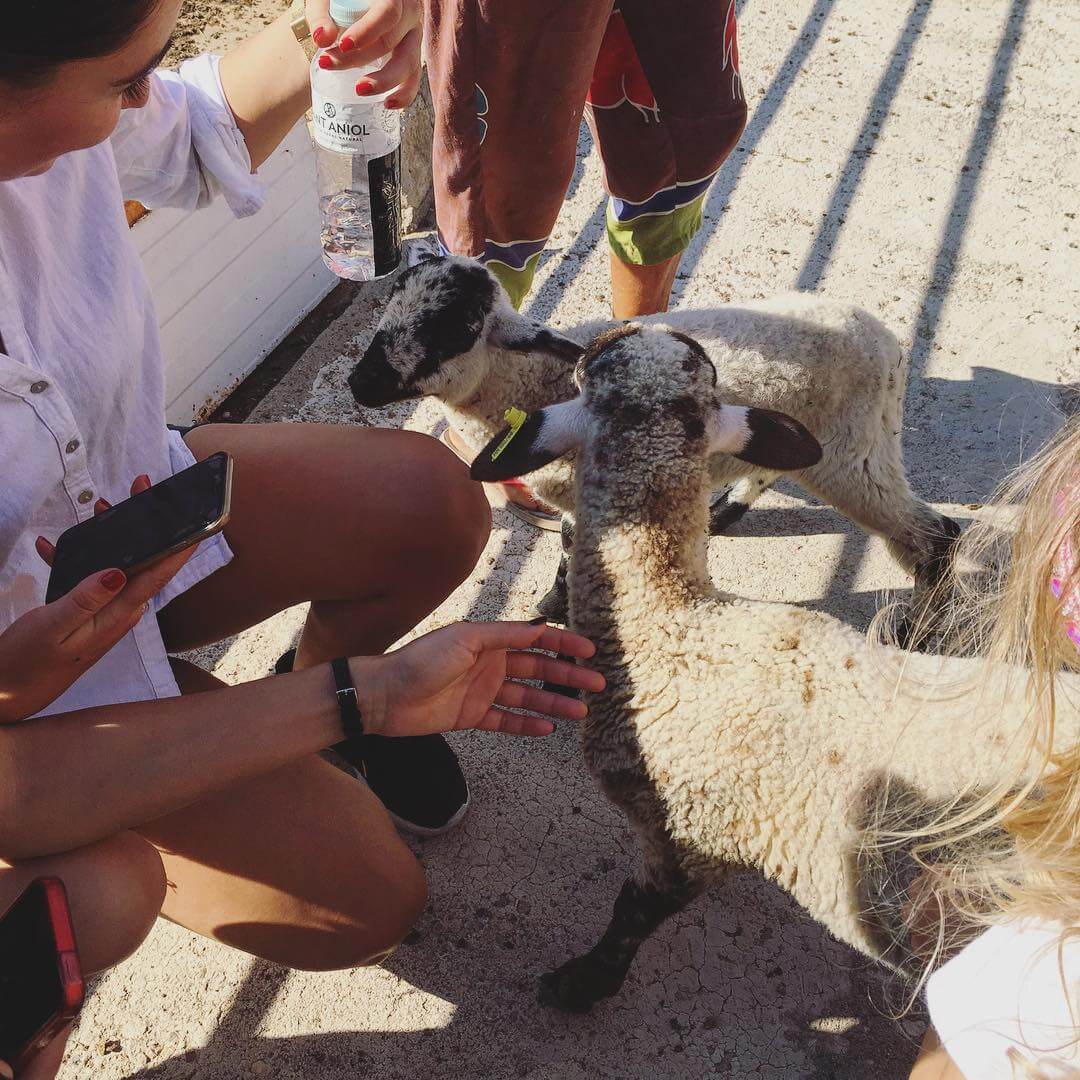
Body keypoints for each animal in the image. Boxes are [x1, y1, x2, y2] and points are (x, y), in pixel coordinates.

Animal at [347, 255, 961, 632]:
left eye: (455, 331)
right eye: (387, 314)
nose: (359, 383)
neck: (530, 384)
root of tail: (885, 339)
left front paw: (559, 611)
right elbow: (566, 546)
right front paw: (553, 604)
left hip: (857, 448)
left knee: (934, 533)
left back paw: (917, 627)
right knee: (774, 461)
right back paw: (725, 510)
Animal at [467, 325, 1080, 1014]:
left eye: (591, 369)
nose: (629, 330)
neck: (674, 625)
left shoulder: (691, 835)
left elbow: (631, 916)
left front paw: (579, 985)